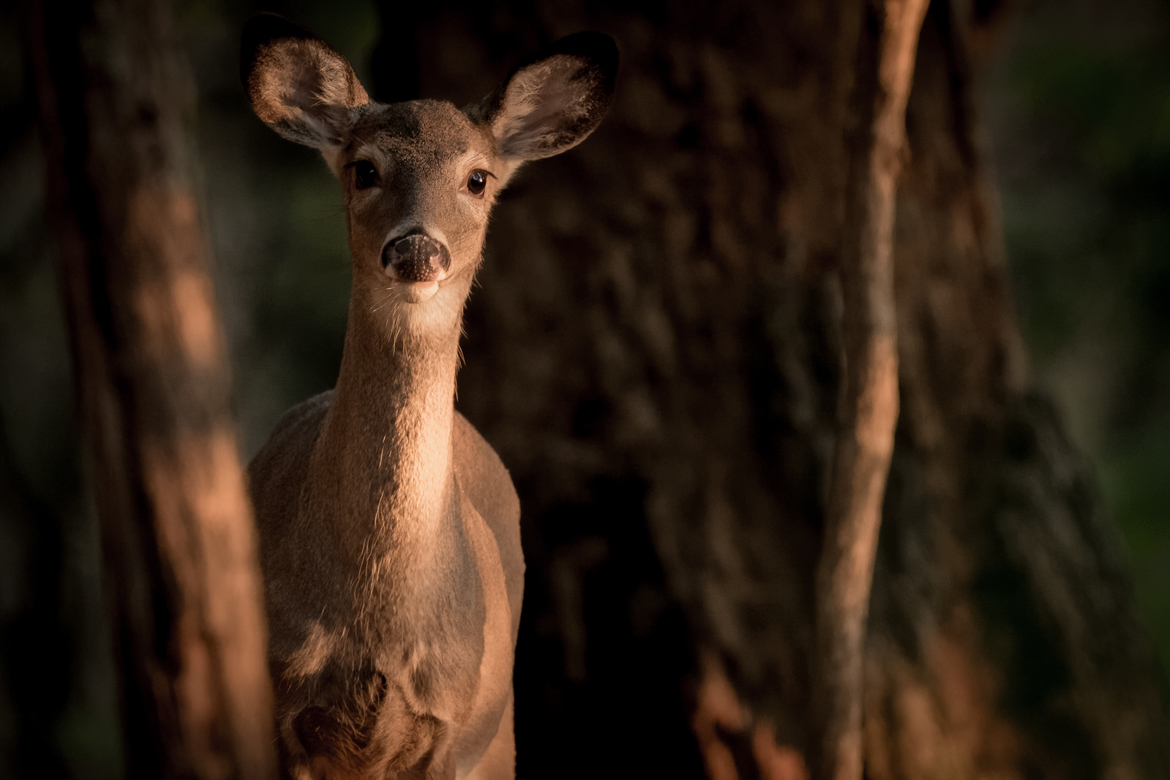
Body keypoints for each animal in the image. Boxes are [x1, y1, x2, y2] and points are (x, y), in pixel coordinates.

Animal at [240, 14, 617, 780]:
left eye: (477, 178)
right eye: (365, 169)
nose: (417, 250)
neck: (375, 616)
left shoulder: (451, 723)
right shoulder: (279, 711)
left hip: (498, 730)